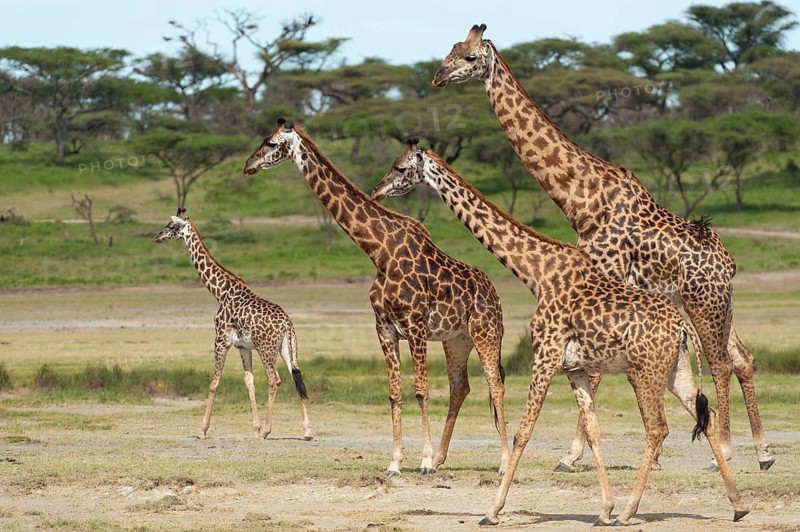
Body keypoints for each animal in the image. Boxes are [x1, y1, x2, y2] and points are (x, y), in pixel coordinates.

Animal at [153, 207, 312, 441]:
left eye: (172, 226)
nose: (157, 237)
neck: (220, 292)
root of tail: (287, 324)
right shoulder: (243, 346)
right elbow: (249, 381)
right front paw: (255, 428)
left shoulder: (220, 341)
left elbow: (214, 382)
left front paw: (203, 429)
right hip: (287, 348)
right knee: (295, 376)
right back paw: (307, 430)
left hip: (267, 349)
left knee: (274, 379)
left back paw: (268, 430)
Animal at [243, 119, 510, 475]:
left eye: (271, 143)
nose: (248, 165)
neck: (379, 252)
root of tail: (495, 294)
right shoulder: (384, 328)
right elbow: (395, 393)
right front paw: (396, 461)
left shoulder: (416, 326)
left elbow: (421, 391)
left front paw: (423, 461)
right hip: (456, 340)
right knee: (460, 386)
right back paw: (443, 457)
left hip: (486, 333)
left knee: (495, 384)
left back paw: (502, 461)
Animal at [371, 139, 749, 525]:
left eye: (401, 168)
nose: (377, 190)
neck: (536, 274)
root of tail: (682, 327)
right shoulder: (575, 368)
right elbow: (594, 432)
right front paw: (604, 508)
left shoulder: (545, 355)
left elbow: (524, 431)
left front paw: (492, 510)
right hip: (676, 370)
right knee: (705, 417)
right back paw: (737, 505)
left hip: (646, 372)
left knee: (658, 427)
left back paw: (631, 511)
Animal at [432, 24, 773, 472]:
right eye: (452, 48)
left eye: (470, 58)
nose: (437, 77)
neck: (582, 198)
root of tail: (729, 263)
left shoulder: (605, 276)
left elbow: (592, 374)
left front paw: (571, 455)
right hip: (718, 304)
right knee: (743, 358)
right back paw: (764, 452)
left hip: (704, 302)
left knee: (720, 362)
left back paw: (727, 453)